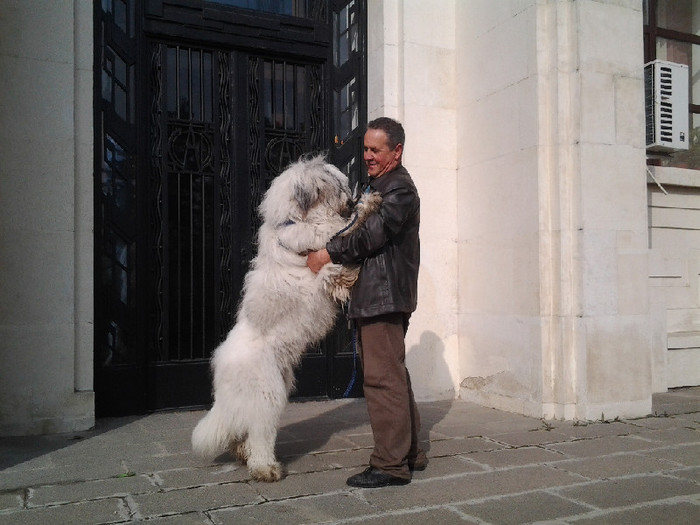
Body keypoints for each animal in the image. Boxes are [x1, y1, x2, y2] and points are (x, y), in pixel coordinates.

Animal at [190, 155, 382, 478]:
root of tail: (222, 372)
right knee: (260, 433)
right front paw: (369, 204)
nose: (352, 197)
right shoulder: (324, 241)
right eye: (337, 185)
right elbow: (345, 228)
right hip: (267, 394)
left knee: (241, 429)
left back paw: (243, 453)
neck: (296, 220)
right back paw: (265, 468)